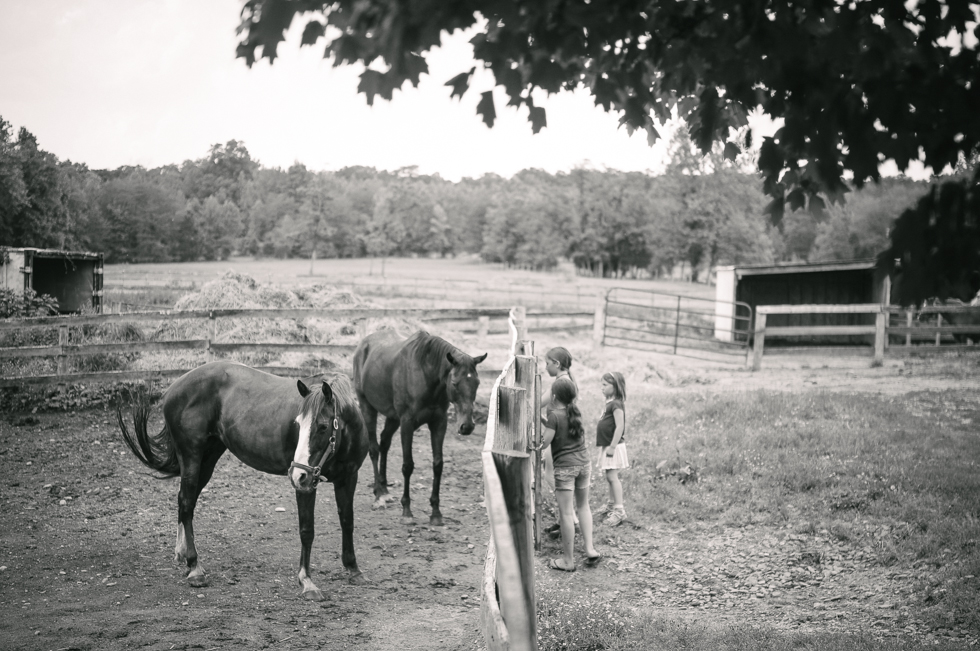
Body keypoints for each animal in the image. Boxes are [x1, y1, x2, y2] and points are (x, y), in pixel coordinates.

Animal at [117, 362, 368, 600]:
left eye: (323, 426)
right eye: (297, 425)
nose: (297, 474)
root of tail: (172, 389)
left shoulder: (348, 477)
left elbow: (348, 520)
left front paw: (353, 568)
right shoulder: (306, 486)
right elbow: (307, 530)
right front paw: (307, 582)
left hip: (208, 458)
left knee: (184, 501)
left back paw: (182, 553)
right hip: (191, 457)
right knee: (187, 503)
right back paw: (194, 567)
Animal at [354, 334, 488, 528]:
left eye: (477, 383)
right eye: (455, 383)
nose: (467, 426)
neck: (426, 375)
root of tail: (363, 344)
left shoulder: (439, 423)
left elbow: (438, 465)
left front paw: (436, 513)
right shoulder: (407, 423)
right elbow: (408, 466)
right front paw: (406, 511)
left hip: (393, 418)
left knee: (384, 443)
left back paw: (385, 490)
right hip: (367, 407)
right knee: (374, 449)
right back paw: (378, 495)